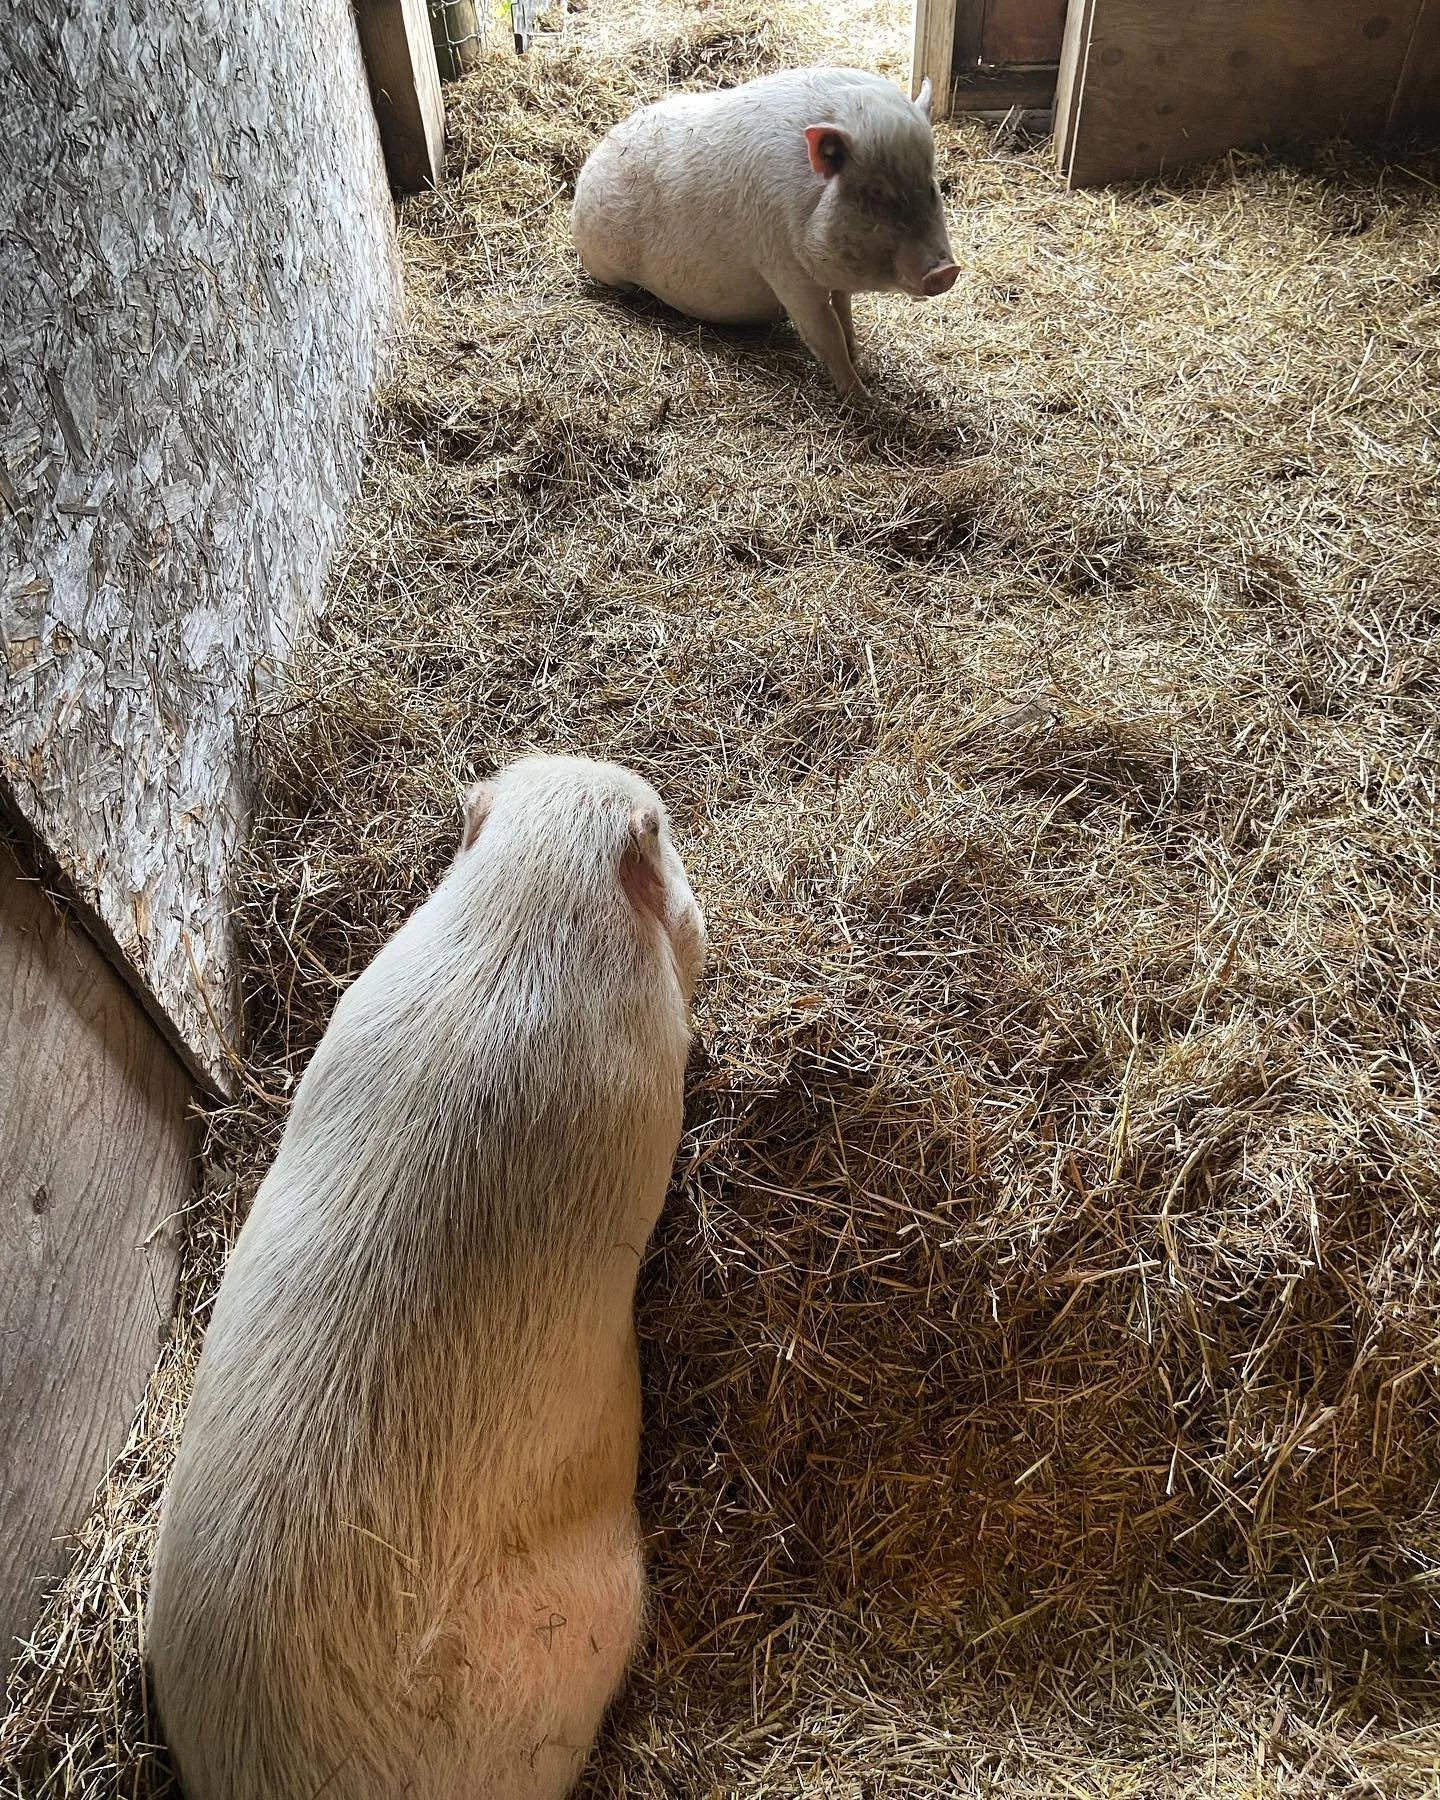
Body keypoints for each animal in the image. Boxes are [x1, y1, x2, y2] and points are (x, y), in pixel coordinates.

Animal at [571, 67, 959, 397]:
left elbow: (844, 314)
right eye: (876, 191)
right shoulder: (786, 272)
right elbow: (826, 334)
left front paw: (859, 359)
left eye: (931, 184)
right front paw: (861, 397)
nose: (946, 270)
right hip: (607, 268)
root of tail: (588, 167)